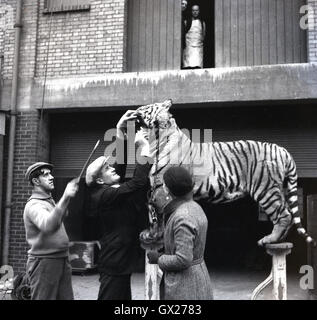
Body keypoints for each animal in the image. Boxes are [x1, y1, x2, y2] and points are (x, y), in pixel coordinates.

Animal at [135, 99, 314, 246]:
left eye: (146, 107)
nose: (135, 109)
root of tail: (282, 149)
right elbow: (154, 215)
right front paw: (151, 235)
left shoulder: (163, 188)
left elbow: (159, 214)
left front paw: (155, 235)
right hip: (277, 188)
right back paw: (279, 239)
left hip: (266, 189)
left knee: (284, 214)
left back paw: (270, 239)